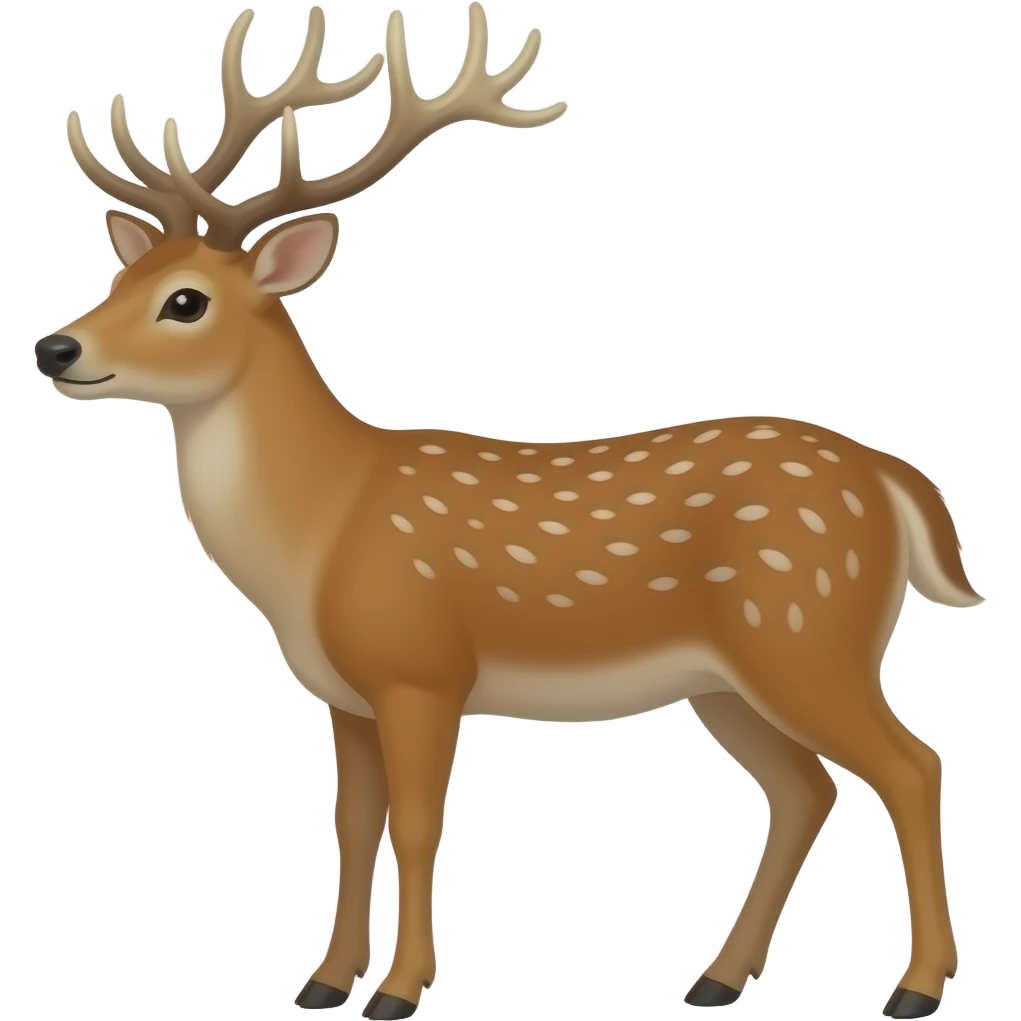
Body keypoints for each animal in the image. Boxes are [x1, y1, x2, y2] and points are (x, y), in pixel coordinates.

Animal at [35, 5, 980, 1019]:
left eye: (185, 301)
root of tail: (892, 477)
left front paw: (399, 989)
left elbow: (416, 824)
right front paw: (324, 982)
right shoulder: (343, 693)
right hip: (728, 679)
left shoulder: (420, 668)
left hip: (806, 629)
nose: (56, 347)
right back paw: (717, 978)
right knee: (806, 789)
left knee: (910, 763)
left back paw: (913, 986)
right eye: (120, 279)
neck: (321, 528)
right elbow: (352, 823)